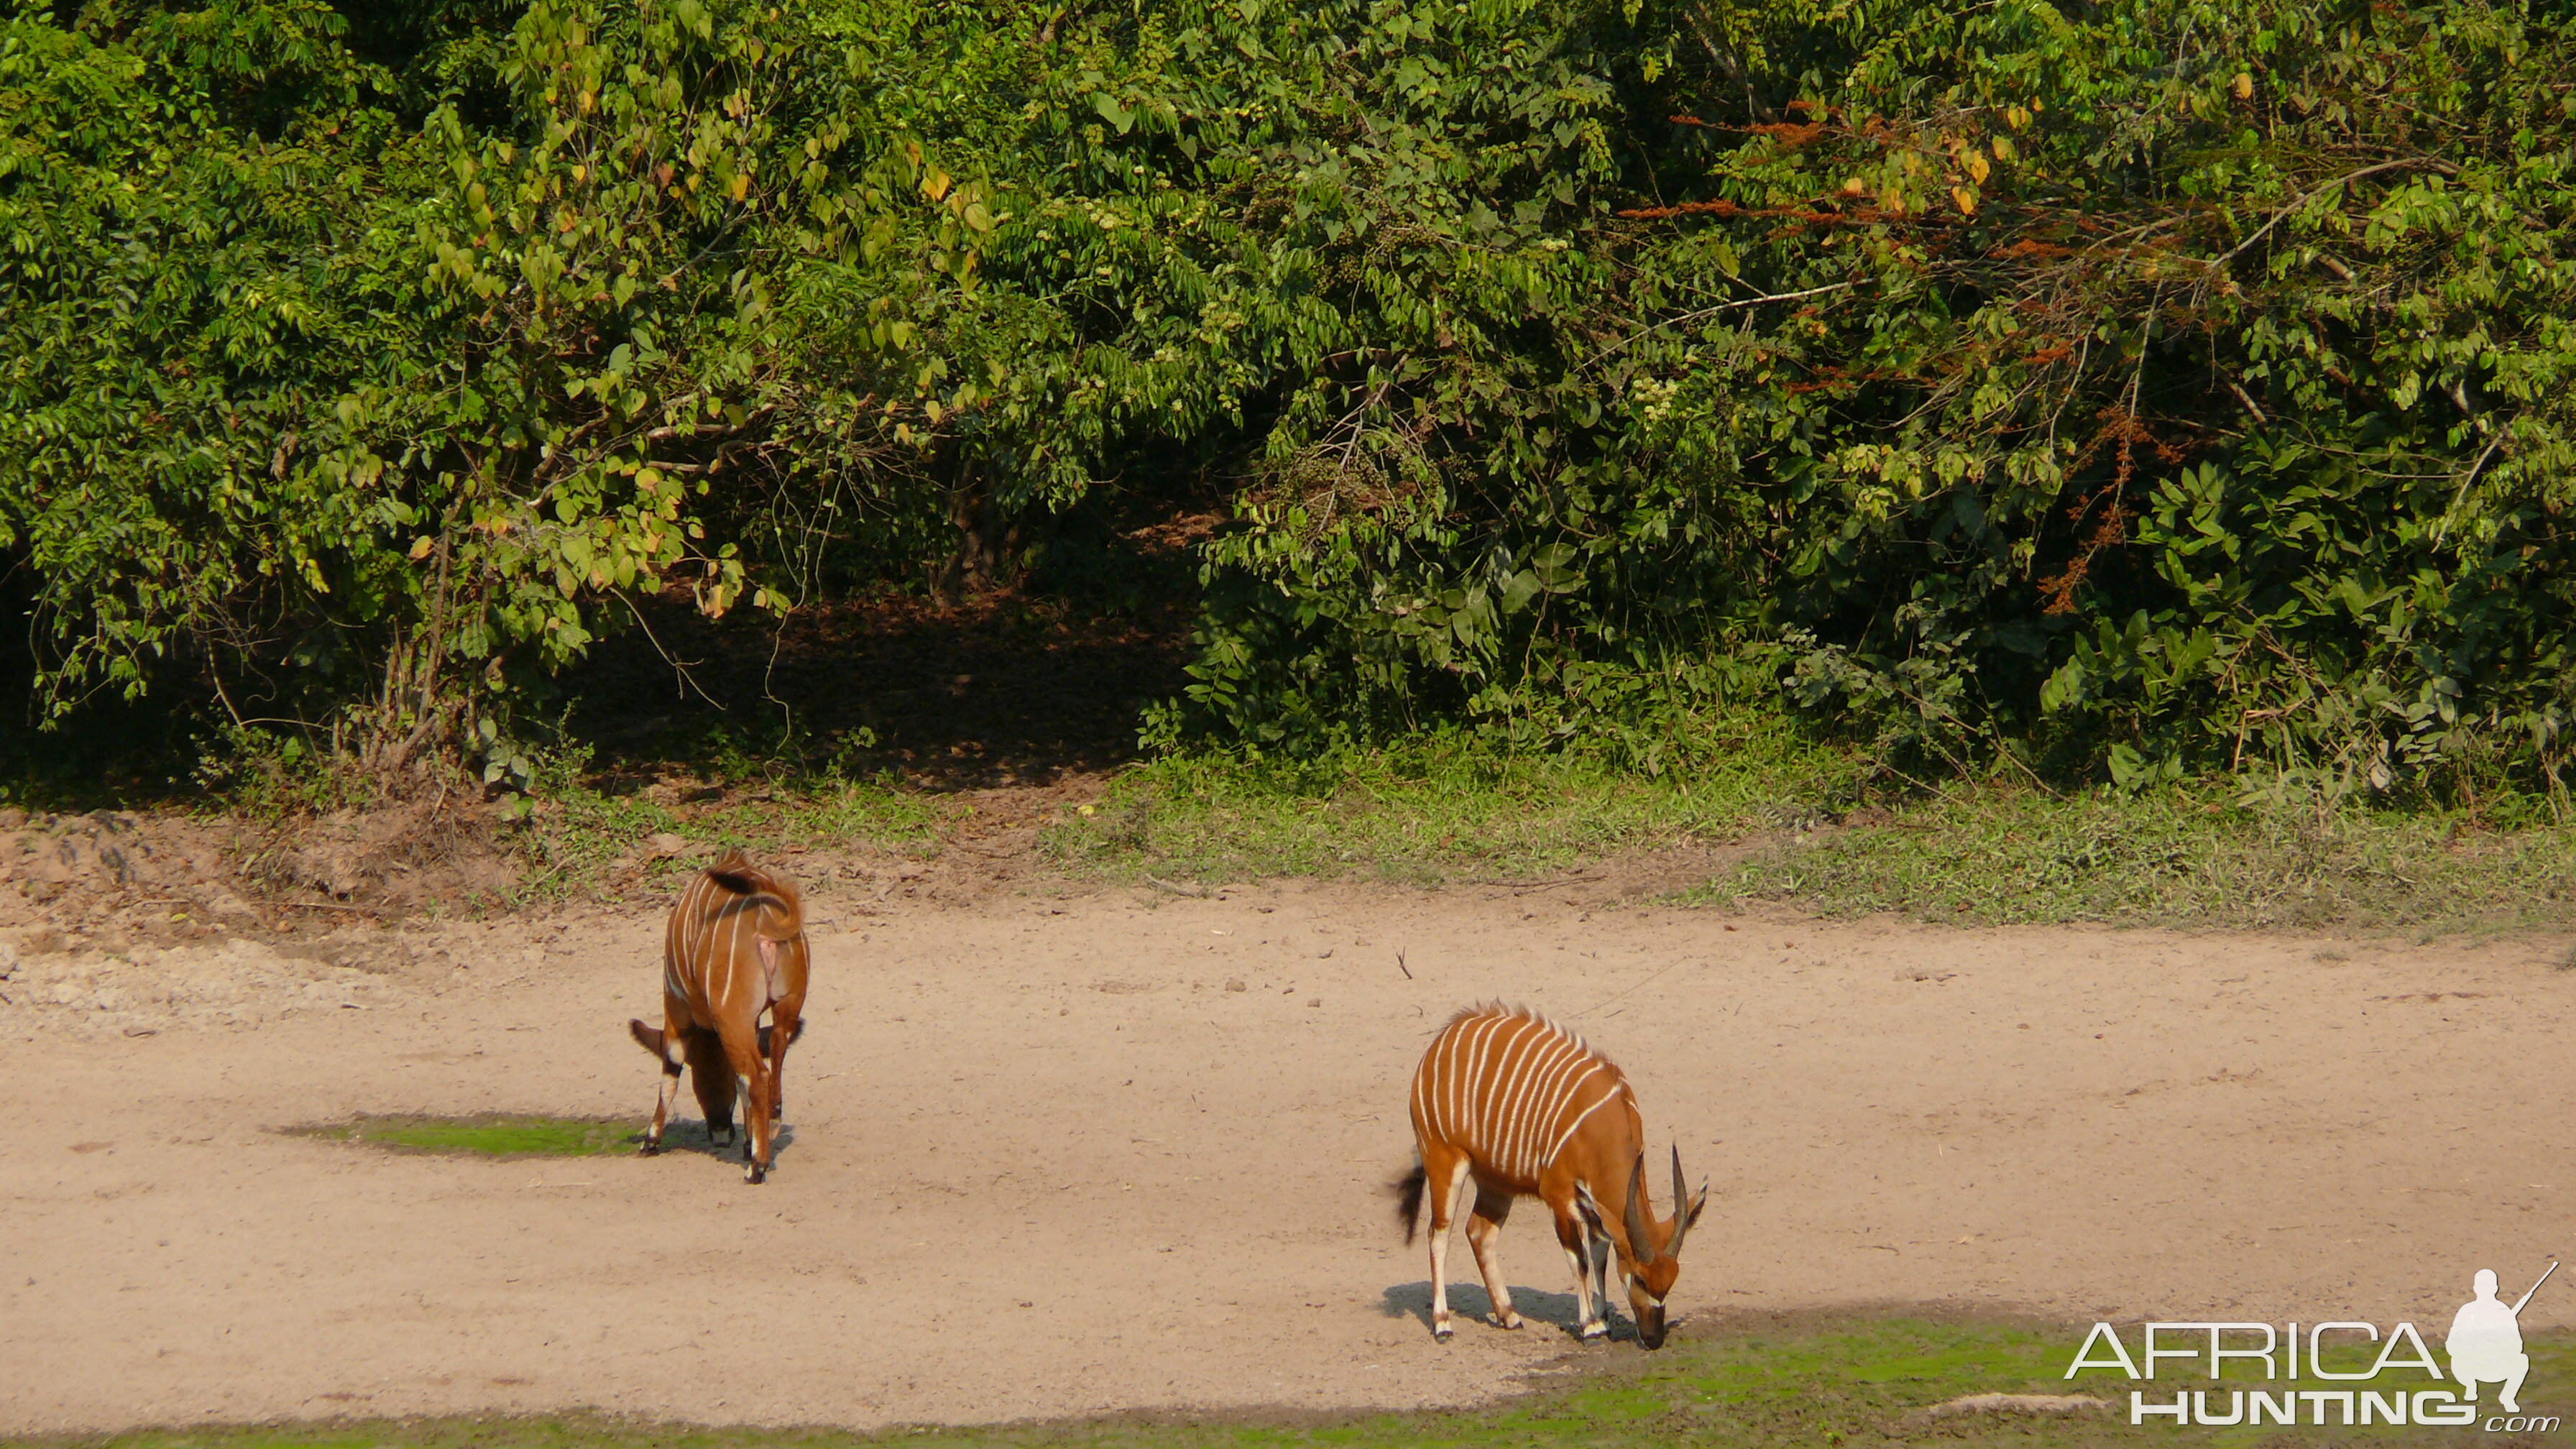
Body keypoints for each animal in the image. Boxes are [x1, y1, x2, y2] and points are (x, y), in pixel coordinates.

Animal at [623, 845, 804, 1175]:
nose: (720, 1133)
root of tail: (770, 921)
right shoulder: (753, 1022)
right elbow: (742, 1080)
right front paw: (747, 1142)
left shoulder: (676, 1007)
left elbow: (670, 1071)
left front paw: (650, 1141)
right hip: (785, 1007)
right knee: (775, 1055)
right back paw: (771, 1127)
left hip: (730, 1017)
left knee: (758, 1075)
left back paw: (756, 1168)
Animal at [1391, 1006, 1710, 1340]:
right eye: (1640, 1278)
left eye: (1671, 1279)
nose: (1653, 1339)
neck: (1602, 1125)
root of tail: (1441, 1042)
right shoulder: (1559, 1195)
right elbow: (1579, 1258)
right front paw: (1591, 1326)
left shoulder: (1594, 1207)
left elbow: (1599, 1256)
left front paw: (1604, 1320)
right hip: (1445, 1162)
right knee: (1439, 1234)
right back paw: (1442, 1323)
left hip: (1497, 1184)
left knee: (1479, 1233)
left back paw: (1509, 1315)